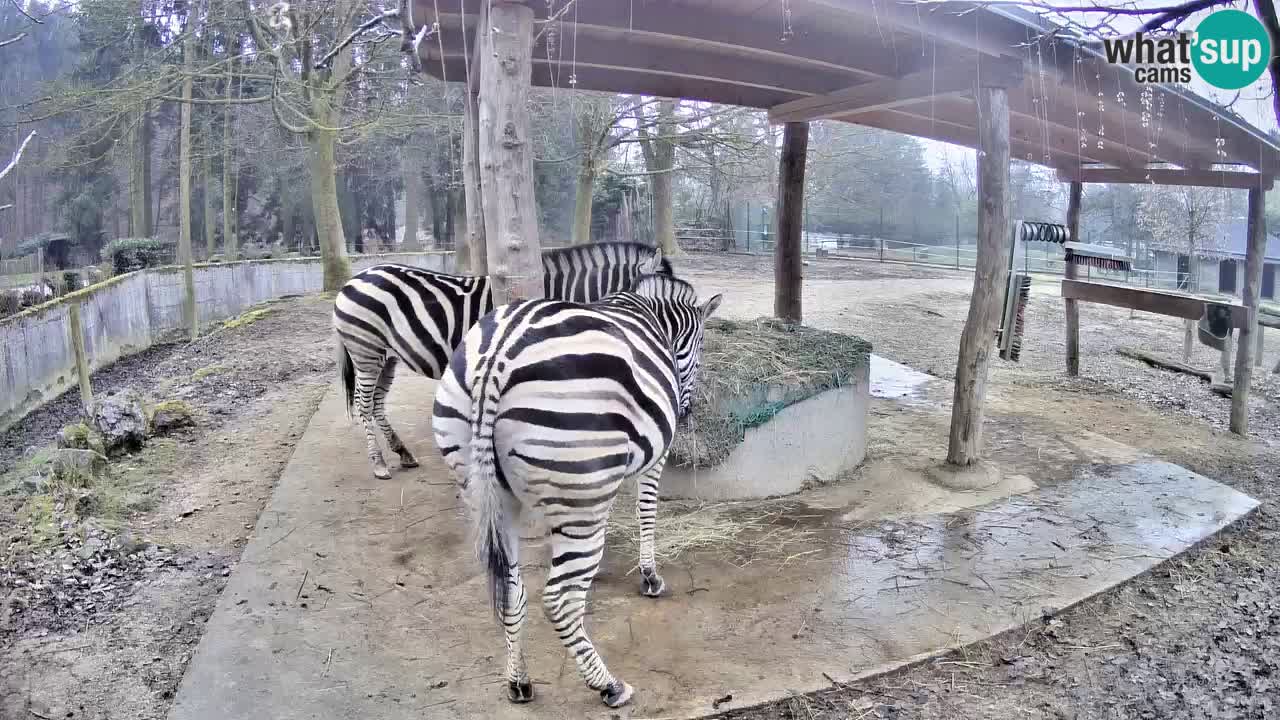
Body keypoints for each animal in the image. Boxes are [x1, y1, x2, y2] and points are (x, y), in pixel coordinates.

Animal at [330, 238, 670, 479]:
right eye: (658, 301)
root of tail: (354, 279)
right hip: (366, 350)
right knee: (363, 403)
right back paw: (379, 464)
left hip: (388, 356)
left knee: (376, 403)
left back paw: (403, 453)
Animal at [432, 274, 721, 707]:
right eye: (698, 350)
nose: (686, 412)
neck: (648, 311)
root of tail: (495, 359)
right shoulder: (653, 457)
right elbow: (646, 511)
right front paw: (650, 576)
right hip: (577, 492)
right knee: (559, 600)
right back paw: (609, 685)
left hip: (489, 491)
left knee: (512, 592)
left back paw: (519, 681)